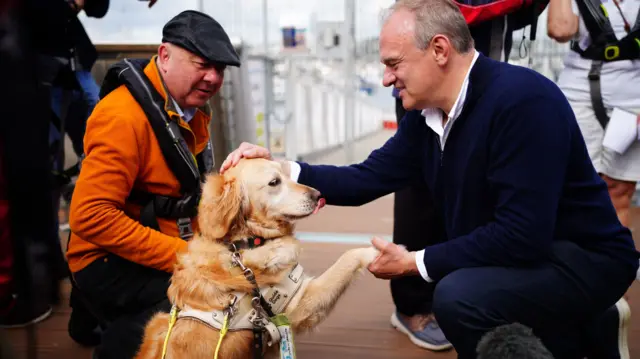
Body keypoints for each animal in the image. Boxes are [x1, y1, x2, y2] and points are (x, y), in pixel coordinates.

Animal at [132, 159, 378, 358]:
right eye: (274, 182)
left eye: (287, 175)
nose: (318, 195)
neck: (246, 242)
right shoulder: (299, 304)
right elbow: (348, 257)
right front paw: (378, 252)